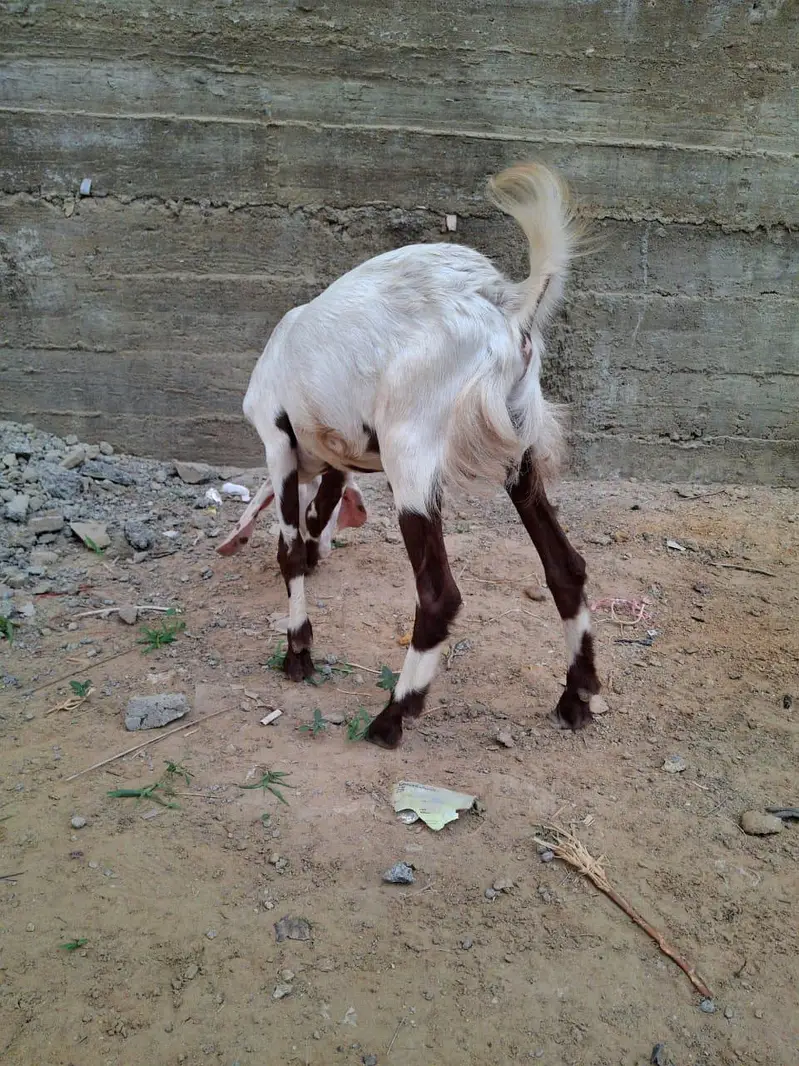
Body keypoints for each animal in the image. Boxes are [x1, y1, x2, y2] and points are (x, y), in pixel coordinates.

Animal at [238, 162, 601, 748]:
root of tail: (507, 309)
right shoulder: (343, 452)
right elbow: (319, 510)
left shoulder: (277, 439)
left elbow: (289, 545)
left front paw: (298, 653)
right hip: (519, 444)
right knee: (565, 566)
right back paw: (576, 696)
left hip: (411, 449)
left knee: (439, 594)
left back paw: (393, 715)